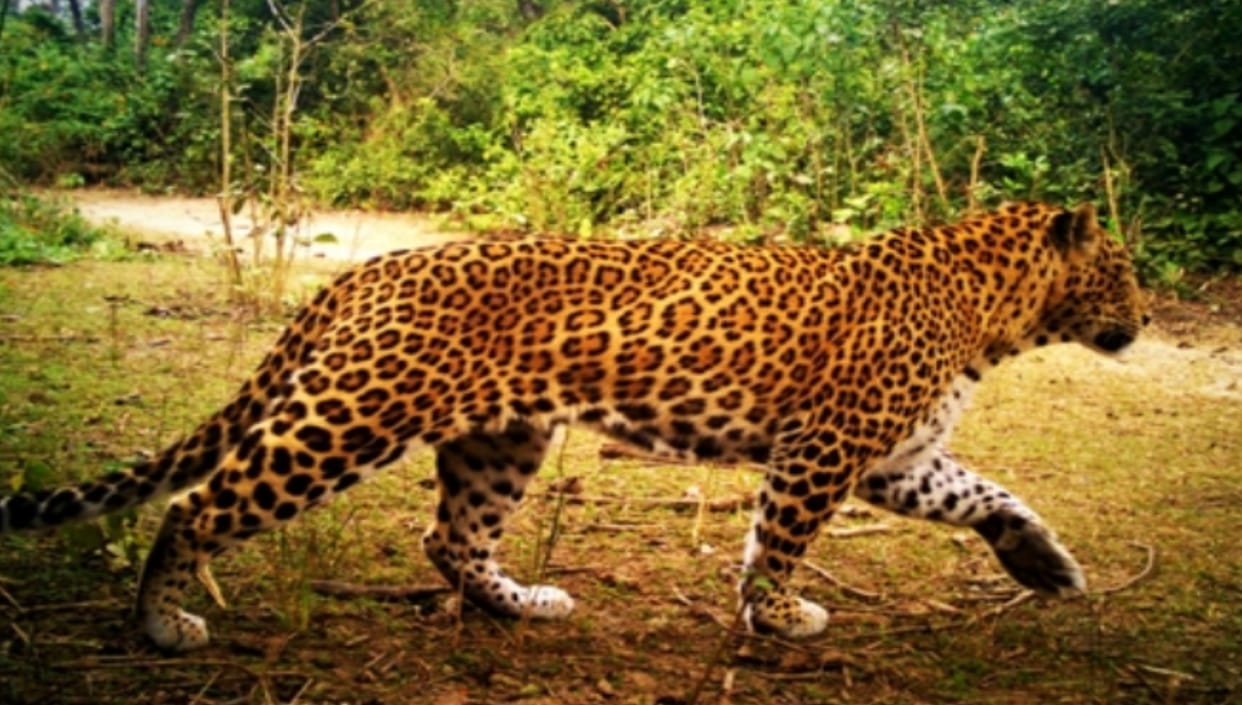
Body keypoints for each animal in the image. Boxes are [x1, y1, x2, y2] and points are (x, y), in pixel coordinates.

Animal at [0, 201, 1147, 652]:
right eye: (1124, 272)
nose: (1144, 320)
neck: (997, 317)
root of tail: (365, 271)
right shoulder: (826, 451)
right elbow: (776, 543)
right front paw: (778, 617)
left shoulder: (893, 459)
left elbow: (990, 496)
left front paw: (1044, 564)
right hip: (349, 416)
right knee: (195, 506)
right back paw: (161, 625)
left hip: (501, 436)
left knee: (450, 536)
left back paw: (522, 603)